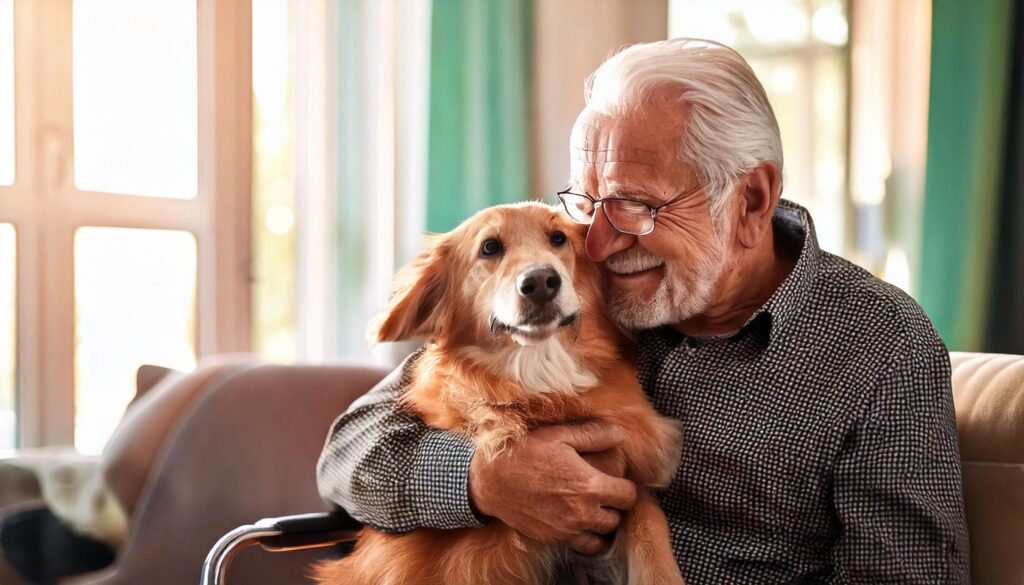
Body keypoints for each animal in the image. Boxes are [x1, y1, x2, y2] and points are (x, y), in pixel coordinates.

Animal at [311, 202, 679, 585]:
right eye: (489, 247)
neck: (540, 384)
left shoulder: (624, 483)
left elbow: (649, 522)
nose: (540, 282)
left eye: (558, 238)